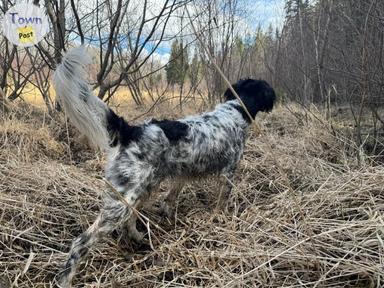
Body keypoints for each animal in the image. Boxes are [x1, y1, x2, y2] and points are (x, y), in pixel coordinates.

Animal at [53, 46, 276, 286]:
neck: (236, 109)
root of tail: (130, 130)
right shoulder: (228, 172)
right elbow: (221, 203)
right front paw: (220, 220)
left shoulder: (182, 175)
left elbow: (170, 198)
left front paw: (169, 216)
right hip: (123, 200)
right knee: (80, 242)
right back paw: (65, 280)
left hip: (142, 188)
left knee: (129, 219)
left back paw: (138, 237)